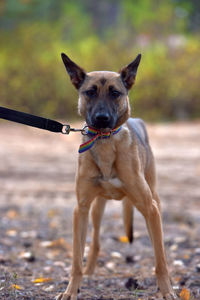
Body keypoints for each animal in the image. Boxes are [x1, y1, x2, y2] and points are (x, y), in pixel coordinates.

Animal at [56, 52, 177, 298]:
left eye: (115, 93)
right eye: (90, 92)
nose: (102, 118)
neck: (105, 141)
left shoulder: (150, 207)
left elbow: (160, 259)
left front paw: (167, 290)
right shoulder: (80, 209)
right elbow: (76, 260)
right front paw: (71, 290)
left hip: (154, 203)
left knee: (157, 243)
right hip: (96, 209)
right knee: (95, 243)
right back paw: (89, 272)